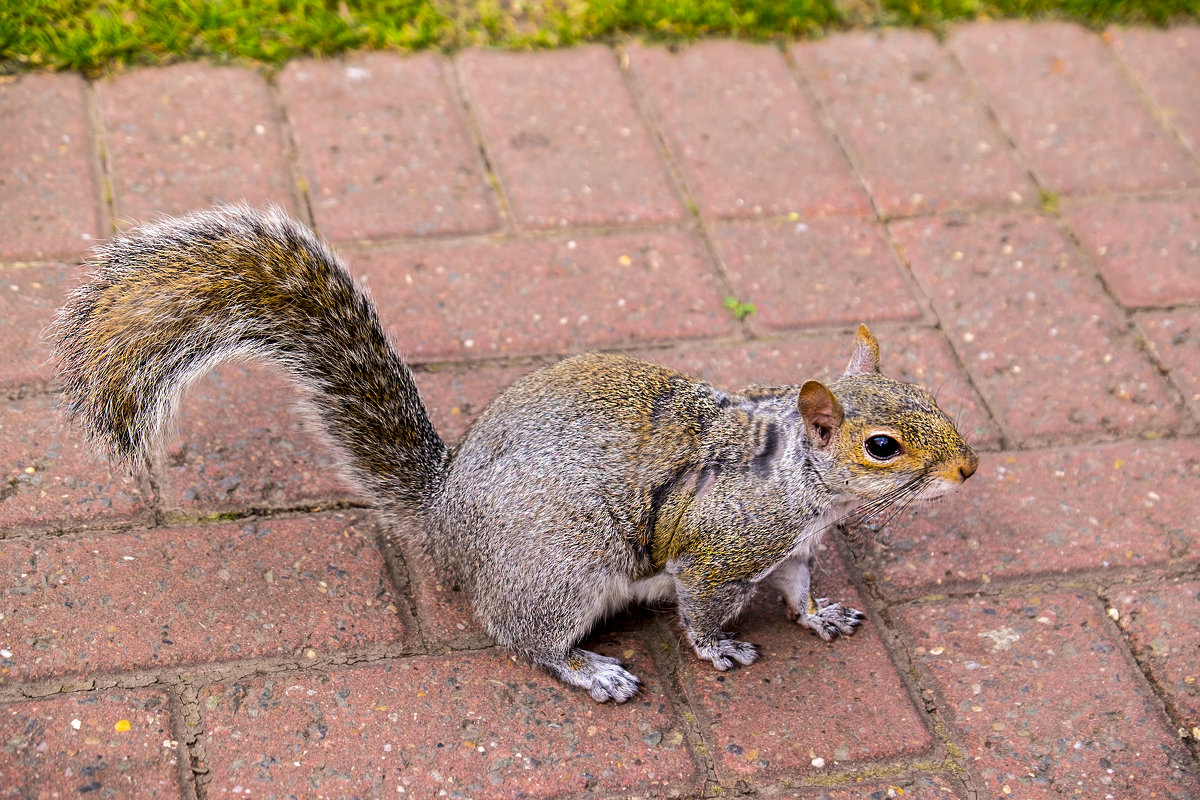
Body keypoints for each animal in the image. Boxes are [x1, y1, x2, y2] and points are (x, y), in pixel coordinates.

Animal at [51, 205, 979, 700]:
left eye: (933, 399)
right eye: (883, 447)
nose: (969, 471)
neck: (798, 483)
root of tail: (445, 518)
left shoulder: (788, 549)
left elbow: (797, 589)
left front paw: (821, 616)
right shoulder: (721, 551)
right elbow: (705, 609)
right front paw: (719, 650)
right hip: (559, 569)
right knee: (522, 637)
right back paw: (590, 668)